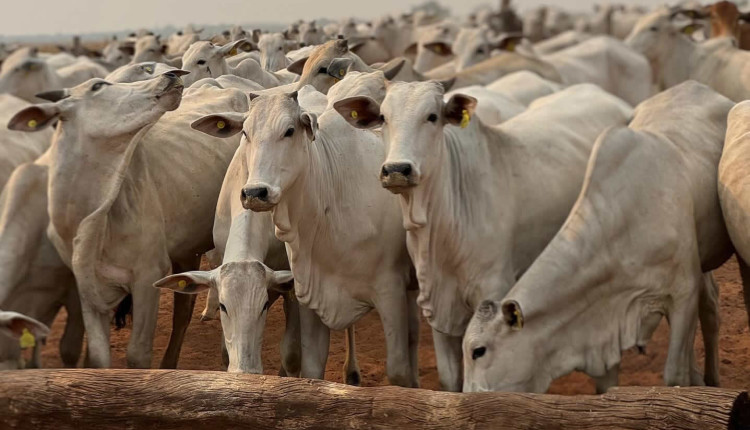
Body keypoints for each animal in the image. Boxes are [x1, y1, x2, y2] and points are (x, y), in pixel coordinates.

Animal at [7, 72, 247, 368]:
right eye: (97, 85)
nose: (171, 74)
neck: (90, 222)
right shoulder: (85, 289)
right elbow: (98, 358)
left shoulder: (148, 276)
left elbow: (138, 355)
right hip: (186, 250)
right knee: (184, 309)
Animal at [334, 82, 636, 392]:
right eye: (383, 117)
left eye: (432, 116)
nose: (397, 170)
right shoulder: (437, 304)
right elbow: (449, 379)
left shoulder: (495, 290)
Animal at [464, 80, 736, 394]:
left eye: (479, 350)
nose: (467, 397)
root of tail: (697, 86)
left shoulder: (683, 293)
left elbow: (675, 375)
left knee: (711, 310)